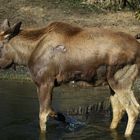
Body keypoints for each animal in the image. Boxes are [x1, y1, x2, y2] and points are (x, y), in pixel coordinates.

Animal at [0, 19, 140, 136]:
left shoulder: (45, 82)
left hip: (121, 81)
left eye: (0, 46)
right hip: (112, 83)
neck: (26, 55)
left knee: (133, 110)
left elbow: (43, 116)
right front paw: (67, 120)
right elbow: (53, 112)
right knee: (118, 111)